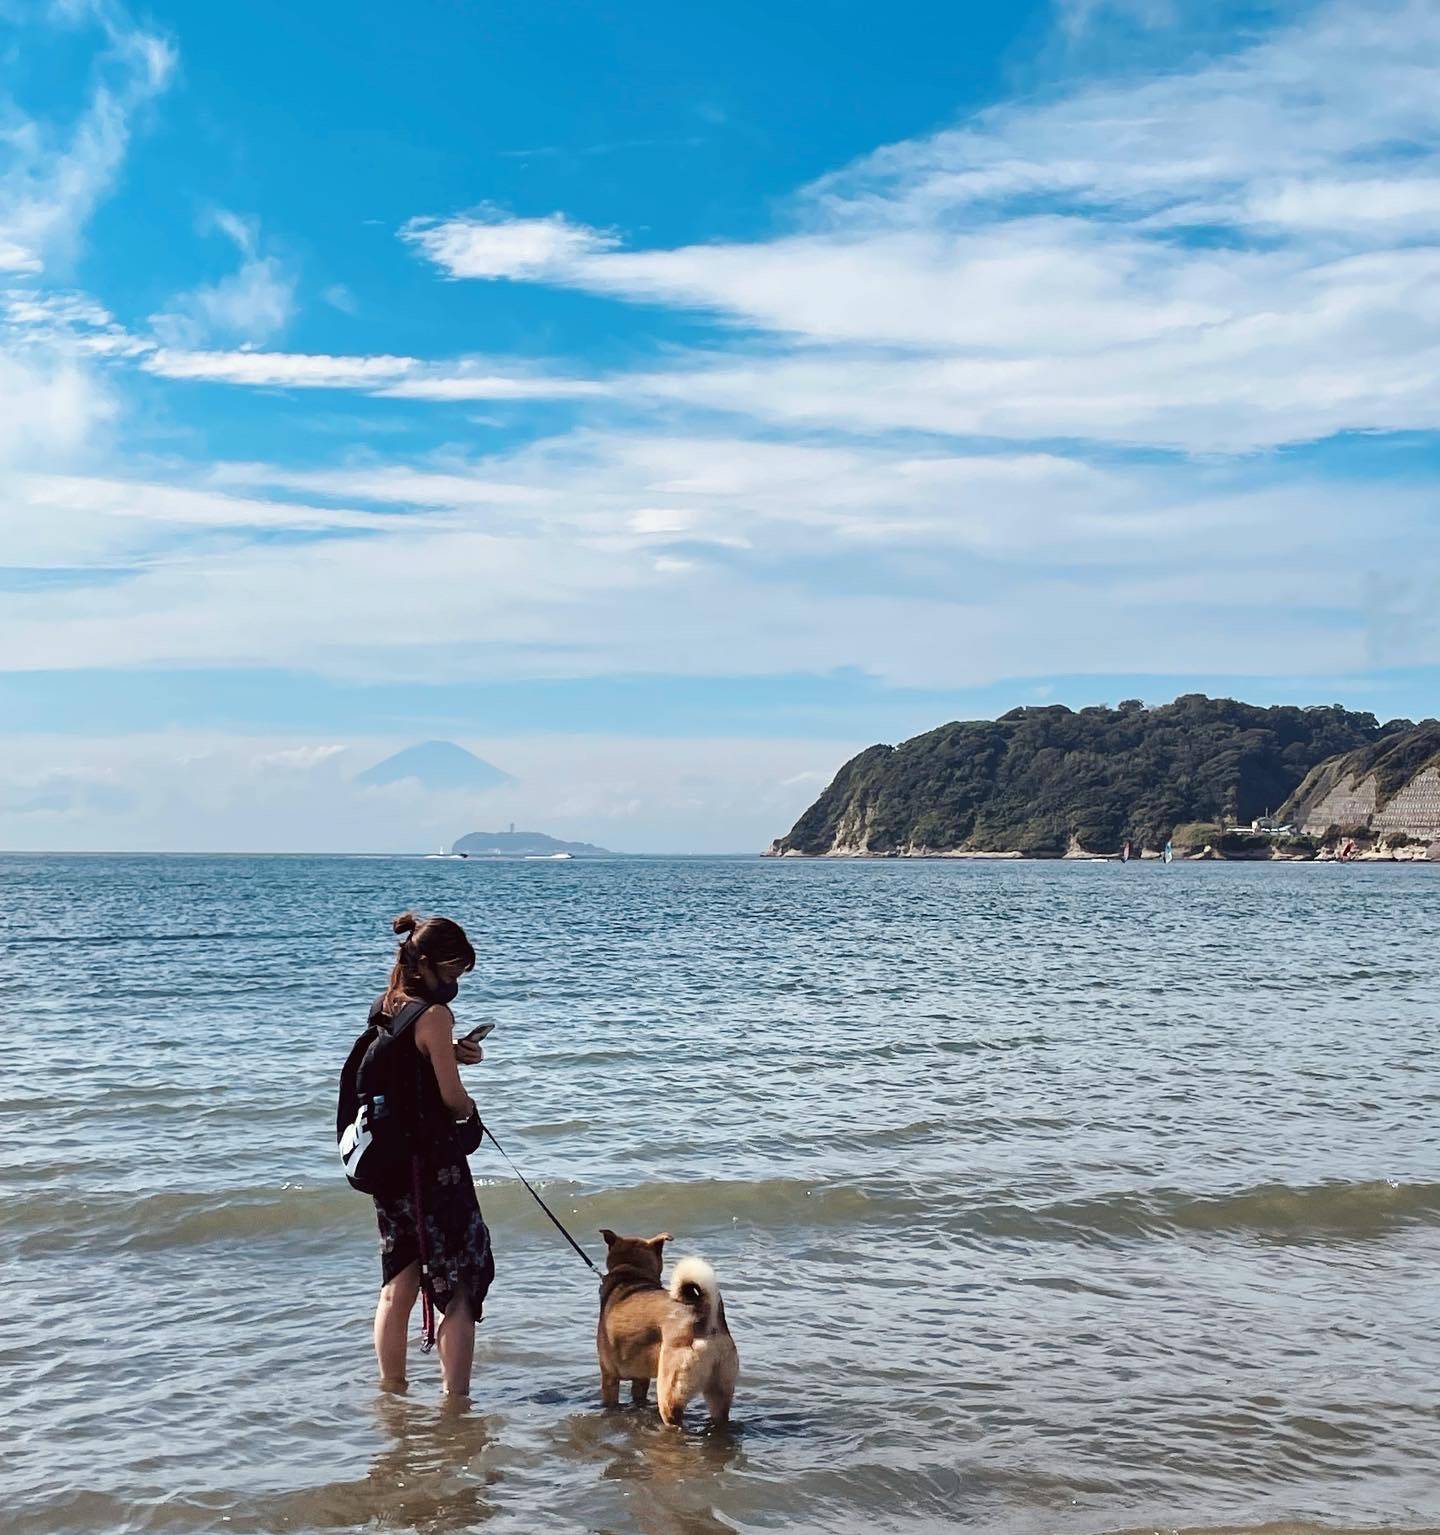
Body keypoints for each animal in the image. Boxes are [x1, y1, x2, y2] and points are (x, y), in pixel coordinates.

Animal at [592, 1221, 733, 1424]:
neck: (632, 1274)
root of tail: (705, 1317)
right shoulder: (641, 1379)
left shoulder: (609, 1376)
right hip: (720, 1391)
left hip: (669, 1391)